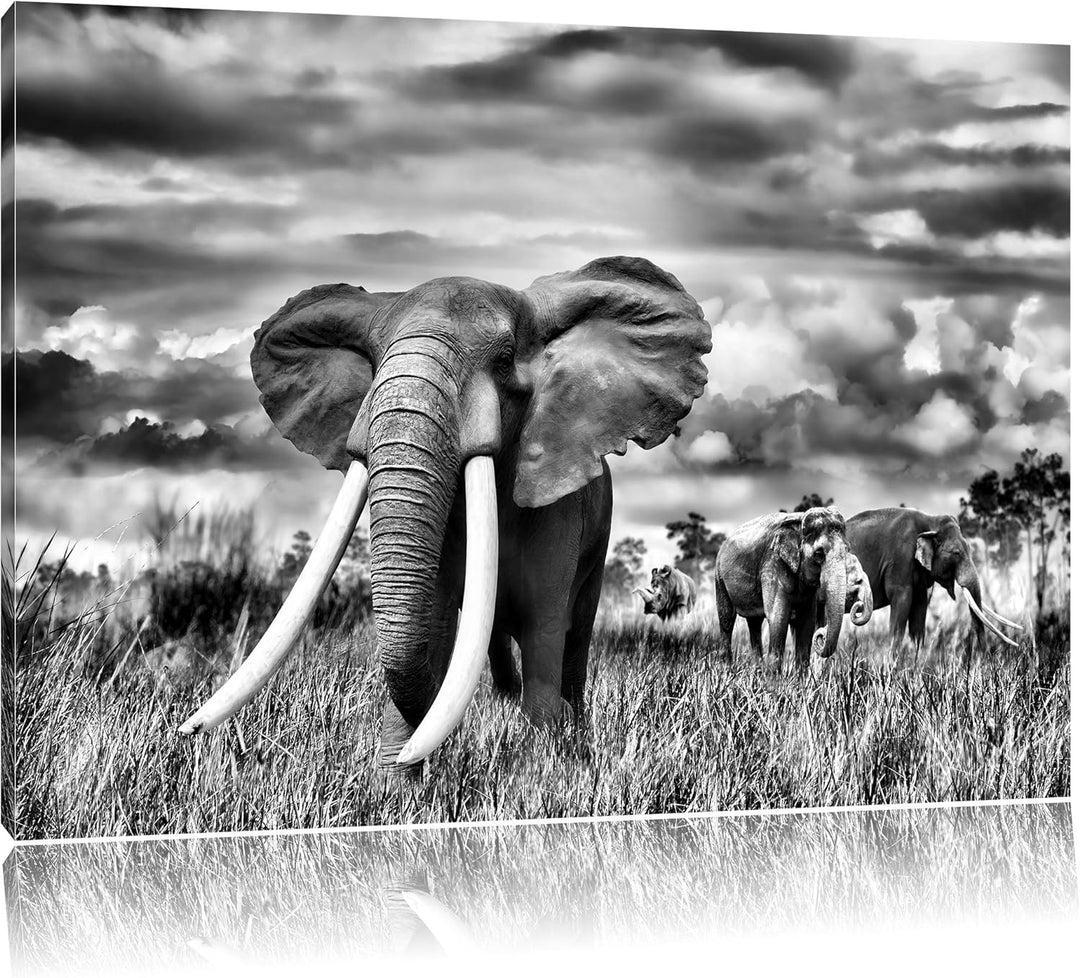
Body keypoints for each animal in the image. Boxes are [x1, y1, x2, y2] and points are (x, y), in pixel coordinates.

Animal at [180, 256, 711, 772]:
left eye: (504, 361)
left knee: (573, 636)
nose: (187, 731)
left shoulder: (560, 506)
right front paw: (398, 786)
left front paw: (542, 774)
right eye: (373, 362)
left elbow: (544, 627)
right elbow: (432, 625)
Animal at [713, 507, 852, 669]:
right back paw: (726, 668)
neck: (799, 520)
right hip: (719, 577)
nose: (821, 634)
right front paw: (774, 675)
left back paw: (757, 669)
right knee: (726, 619)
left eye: (847, 550)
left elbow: (807, 620)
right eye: (819, 554)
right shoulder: (772, 564)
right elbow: (778, 616)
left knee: (754, 623)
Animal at [844, 508, 1022, 652]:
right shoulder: (900, 560)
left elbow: (919, 611)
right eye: (956, 553)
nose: (983, 654)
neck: (930, 520)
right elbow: (901, 604)